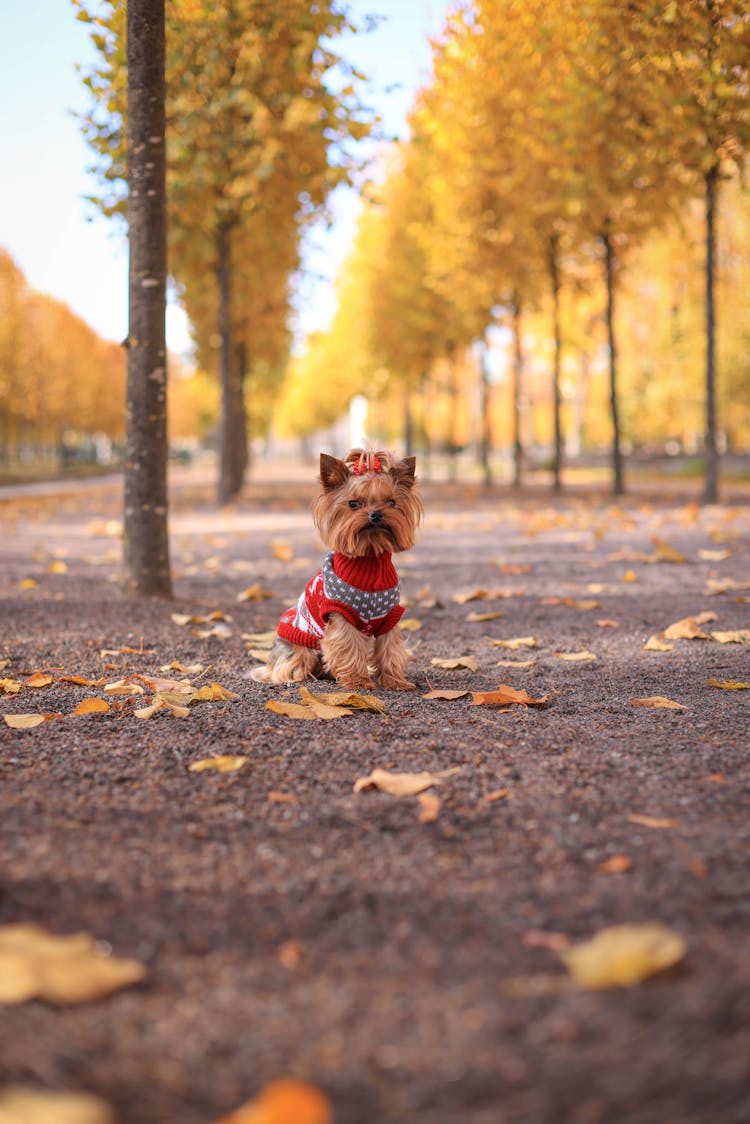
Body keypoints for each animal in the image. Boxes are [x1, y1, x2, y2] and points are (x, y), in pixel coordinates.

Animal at [254, 451, 422, 687]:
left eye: (391, 502)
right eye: (353, 504)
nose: (376, 514)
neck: (369, 560)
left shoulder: (389, 616)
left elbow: (390, 649)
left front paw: (395, 681)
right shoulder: (340, 614)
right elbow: (348, 647)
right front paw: (358, 682)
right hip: (300, 647)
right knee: (289, 665)